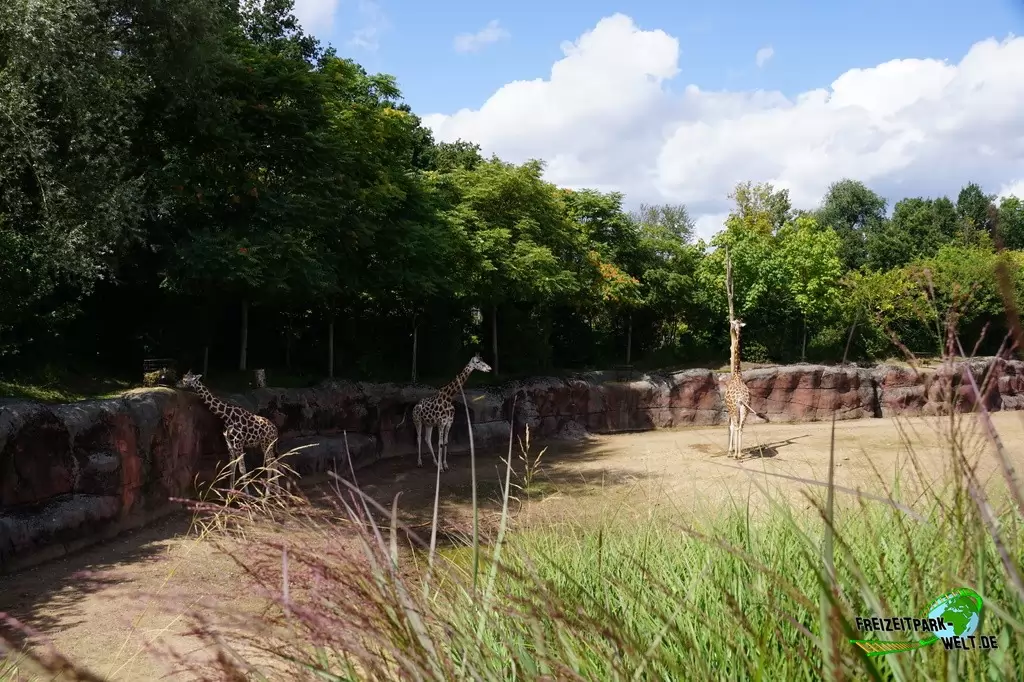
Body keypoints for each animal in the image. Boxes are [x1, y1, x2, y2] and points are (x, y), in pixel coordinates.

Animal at [722, 319, 769, 459]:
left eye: (734, 322)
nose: (730, 325)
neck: (737, 374)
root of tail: (741, 399)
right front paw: (736, 451)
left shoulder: (729, 408)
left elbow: (731, 427)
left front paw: (730, 451)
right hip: (745, 409)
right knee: (741, 427)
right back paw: (739, 453)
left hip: (735, 408)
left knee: (736, 426)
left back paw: (735, 454)